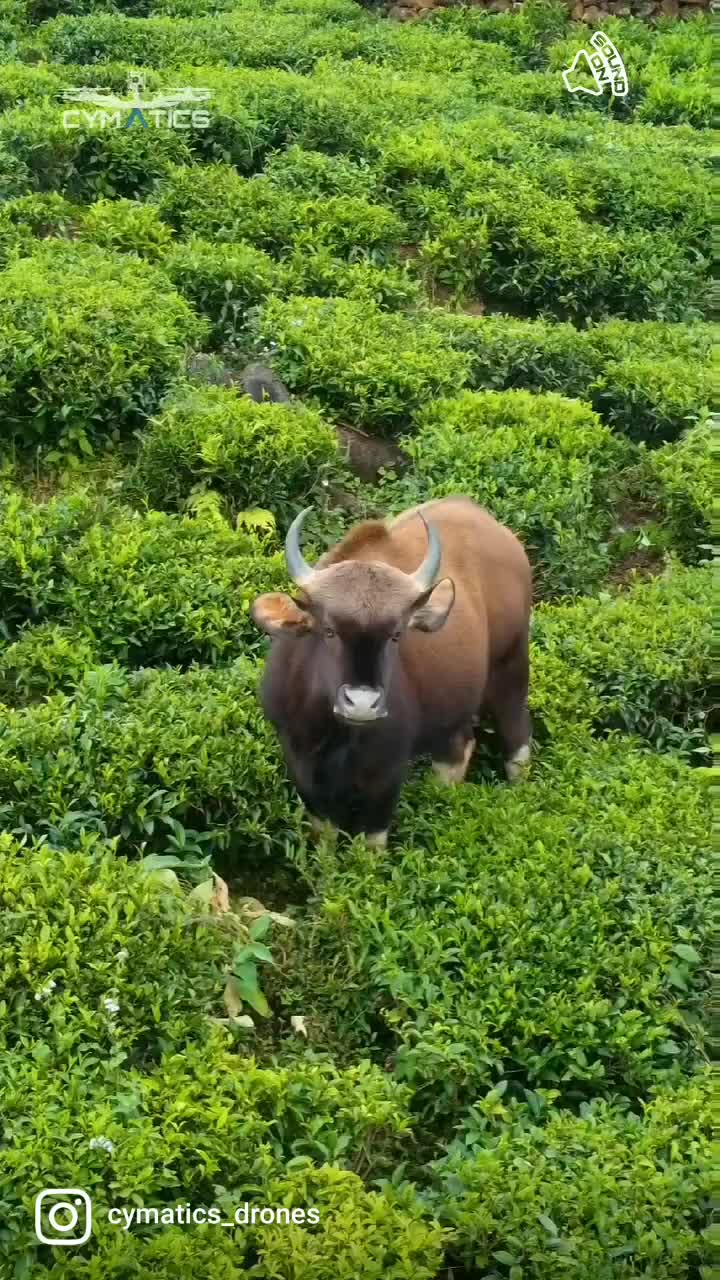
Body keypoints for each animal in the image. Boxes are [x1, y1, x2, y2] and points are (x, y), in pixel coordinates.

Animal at [251, 496, 532, 846]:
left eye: (396, 634)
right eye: (328, 630)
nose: (361, 703)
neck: (338, 735)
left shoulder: (386, 771)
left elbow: (370, 841)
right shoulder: (299, 759)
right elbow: (323, 834)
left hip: (511, 664)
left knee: (517, 734)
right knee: (457, 749)